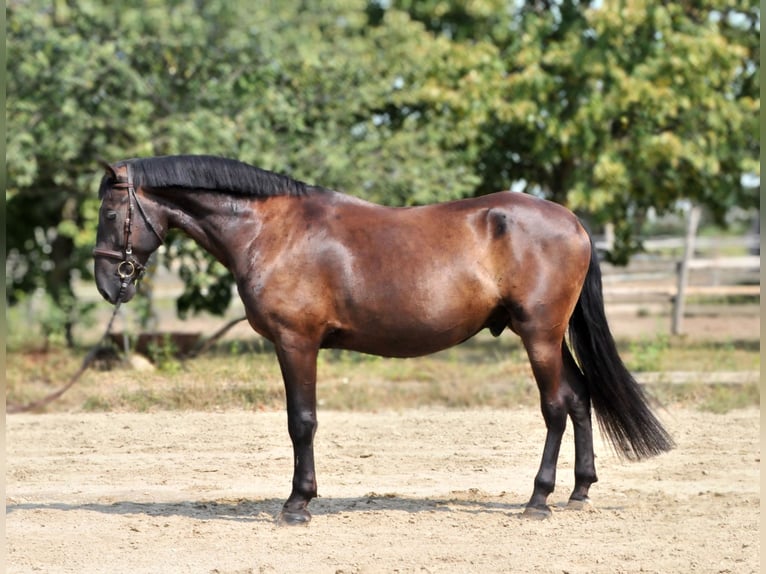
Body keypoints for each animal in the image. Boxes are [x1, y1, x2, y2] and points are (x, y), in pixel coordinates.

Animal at [93, 154, 676, 528]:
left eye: (108, 212)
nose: (106, 283)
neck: (269, 229)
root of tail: (573, 222)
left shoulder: (296, 342)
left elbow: (301, 422)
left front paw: (297, 506)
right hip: (549, 337)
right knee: (579, 398)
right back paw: (579, 491)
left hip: (540, 335)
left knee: (556, 406)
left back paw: (538, 499)